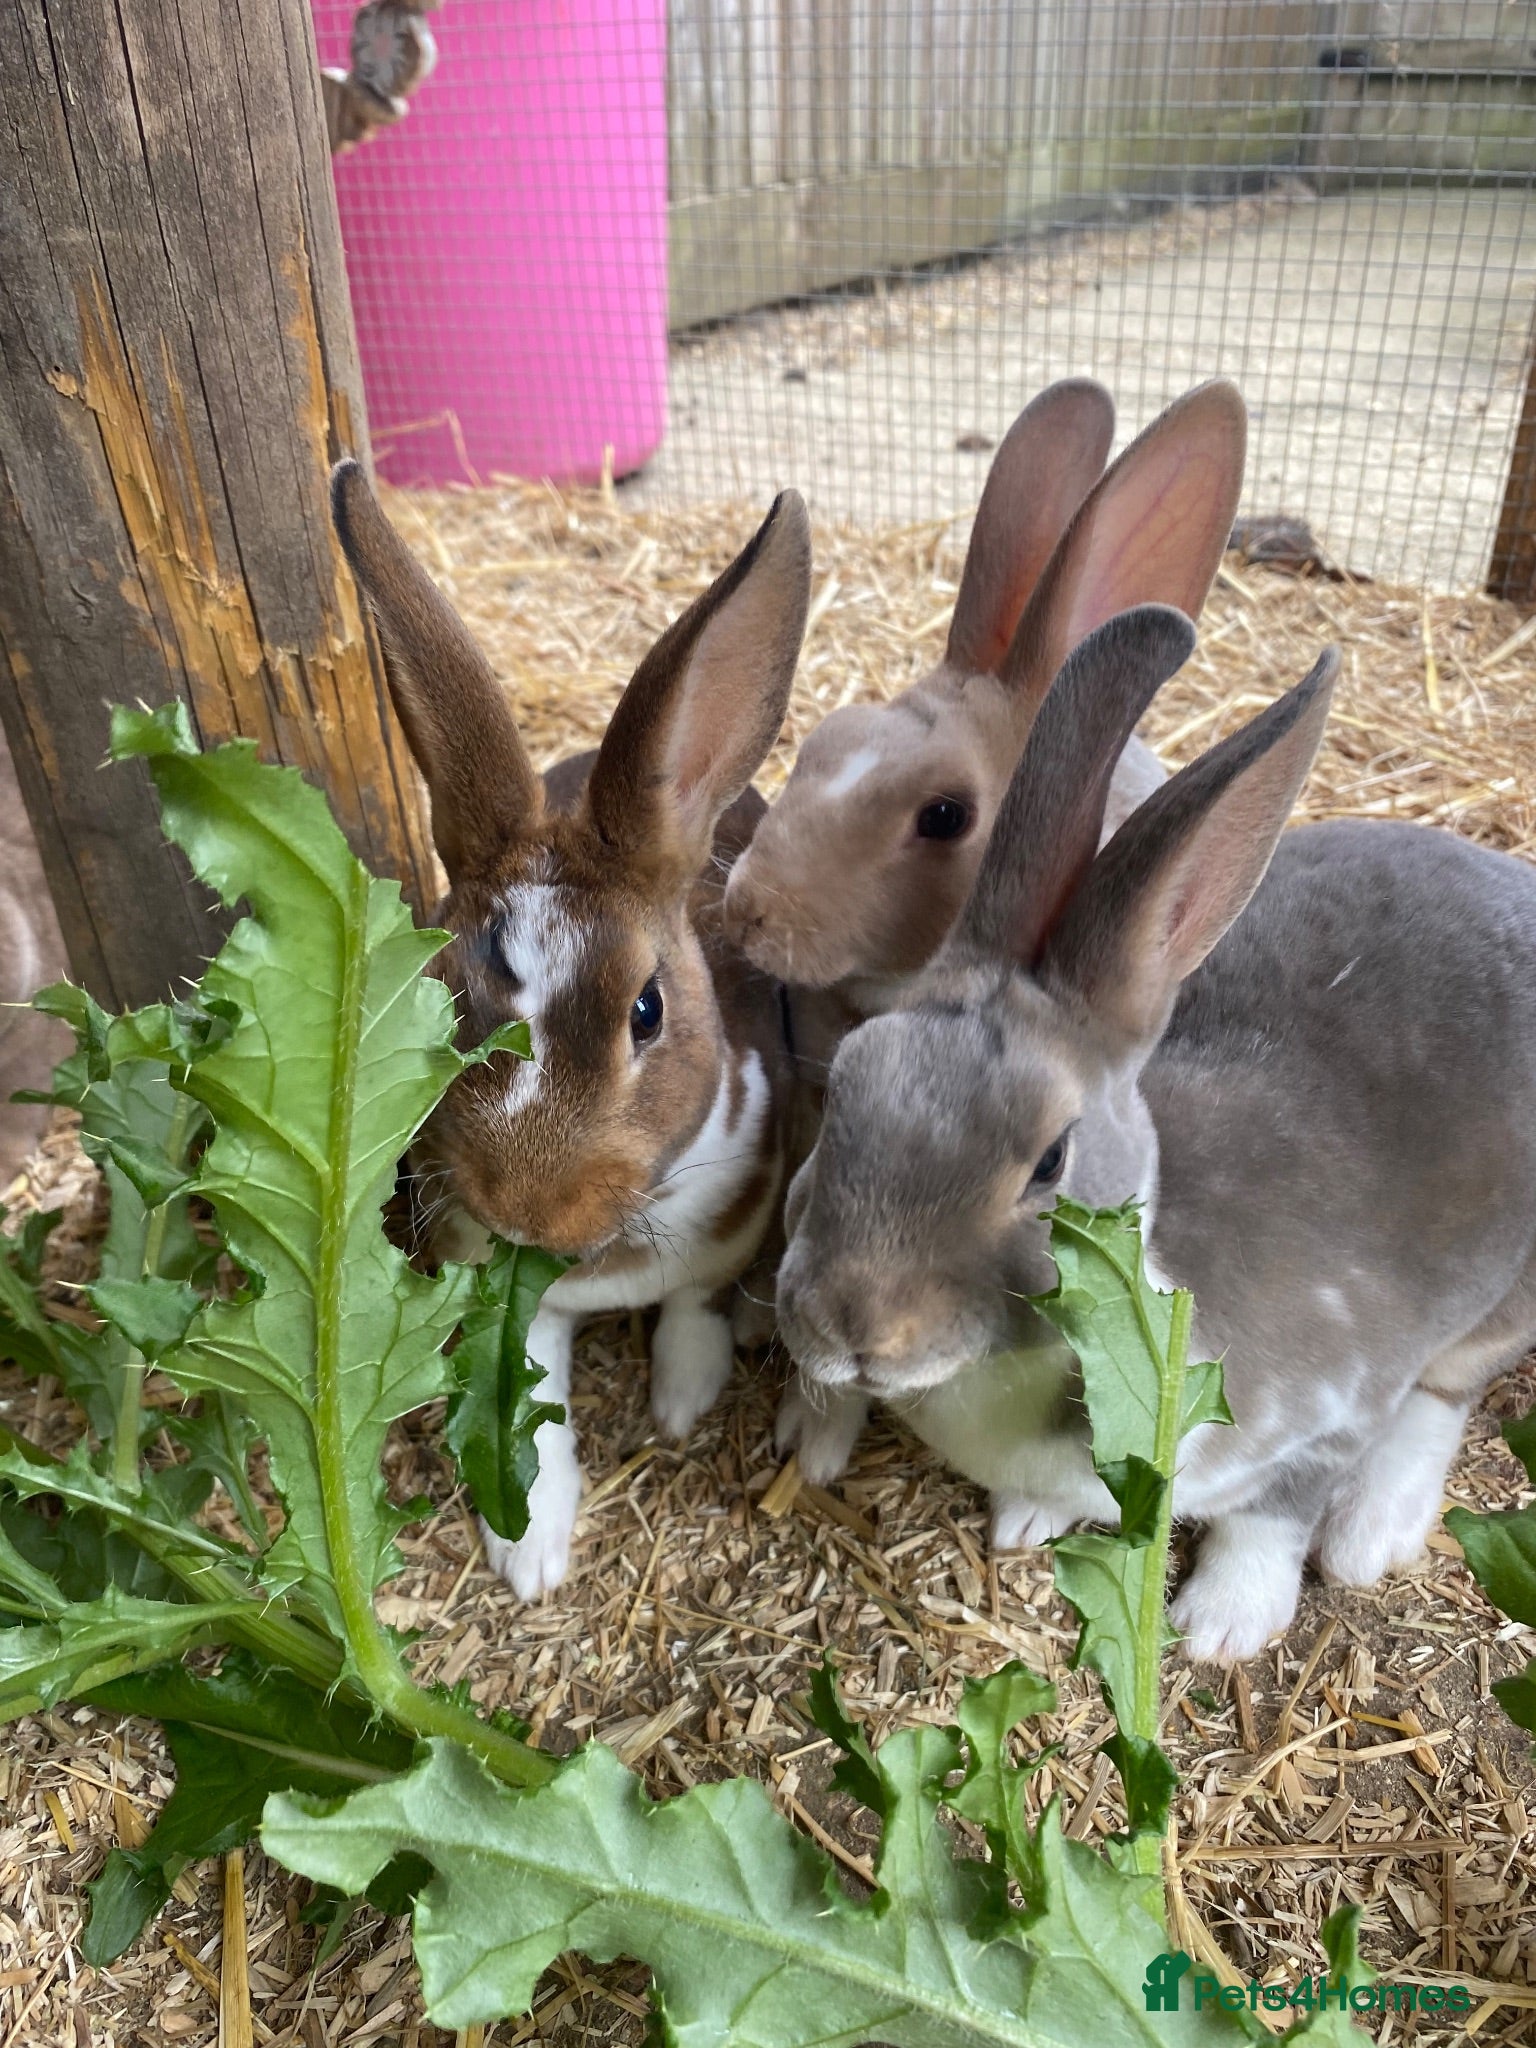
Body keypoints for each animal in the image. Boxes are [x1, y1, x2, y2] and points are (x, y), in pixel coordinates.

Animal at [331, 463, 812, 1598]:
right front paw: (532, 1556)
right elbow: (532, 1406)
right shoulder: (512, 1302)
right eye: (442, 992)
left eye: (648, 1009)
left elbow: (696, 1302)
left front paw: (681, 1401)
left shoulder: (739, 1218)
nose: (523, 1208)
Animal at [774, 601, 1536, 1664]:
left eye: (1051, 1160)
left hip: (1506, 1299)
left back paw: (1368, 1535)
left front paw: (1222, 1624)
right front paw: (1028, 1520)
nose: (855, 1328)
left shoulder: (1334, 1411)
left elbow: (1273, 1515)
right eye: (845, 1084)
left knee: (1445, 1394)